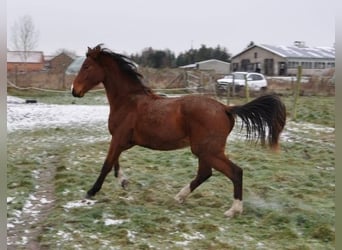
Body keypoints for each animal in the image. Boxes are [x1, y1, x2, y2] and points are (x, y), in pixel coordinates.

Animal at [70, 44, 286, 217]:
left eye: (86, 66)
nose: (74, 91)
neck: (128, 102)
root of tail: (226, 108)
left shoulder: (118, 139)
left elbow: (107, 164)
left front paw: (91, 191)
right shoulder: (122, 141)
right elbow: (114, 163)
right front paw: (123, 182)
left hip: (208, 150)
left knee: (234, 172)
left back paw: (233, 210)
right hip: (205, 151)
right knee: (205, 173)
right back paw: (179, 197)